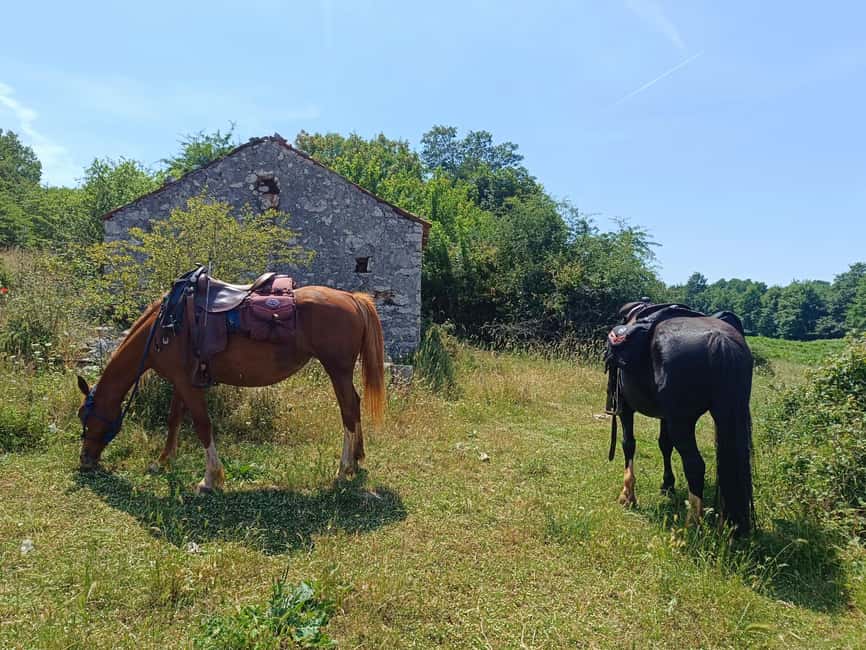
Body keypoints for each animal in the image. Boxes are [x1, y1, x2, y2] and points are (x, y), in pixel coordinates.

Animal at [77, 280, 385, 493]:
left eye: (87, 419)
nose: (85, 461)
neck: (163, 327)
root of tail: (352, 298)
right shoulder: (181, 381)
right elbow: (174, 419)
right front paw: (163, 461)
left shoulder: (189, 385)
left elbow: (202, 425)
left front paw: (210, 479)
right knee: (355, 405)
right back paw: (357, 458)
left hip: (337, 369)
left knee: (348, 410)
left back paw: (343, 468)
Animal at [607, 302, 755, 535]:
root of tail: (720, 342)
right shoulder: (666, 416)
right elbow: (664, 445)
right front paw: (667, 485)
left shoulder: (626, 408)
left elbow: (628, 444)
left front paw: (627, 496)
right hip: (724, 415)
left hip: (682, 423)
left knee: (695, 465)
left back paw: (693, 524)